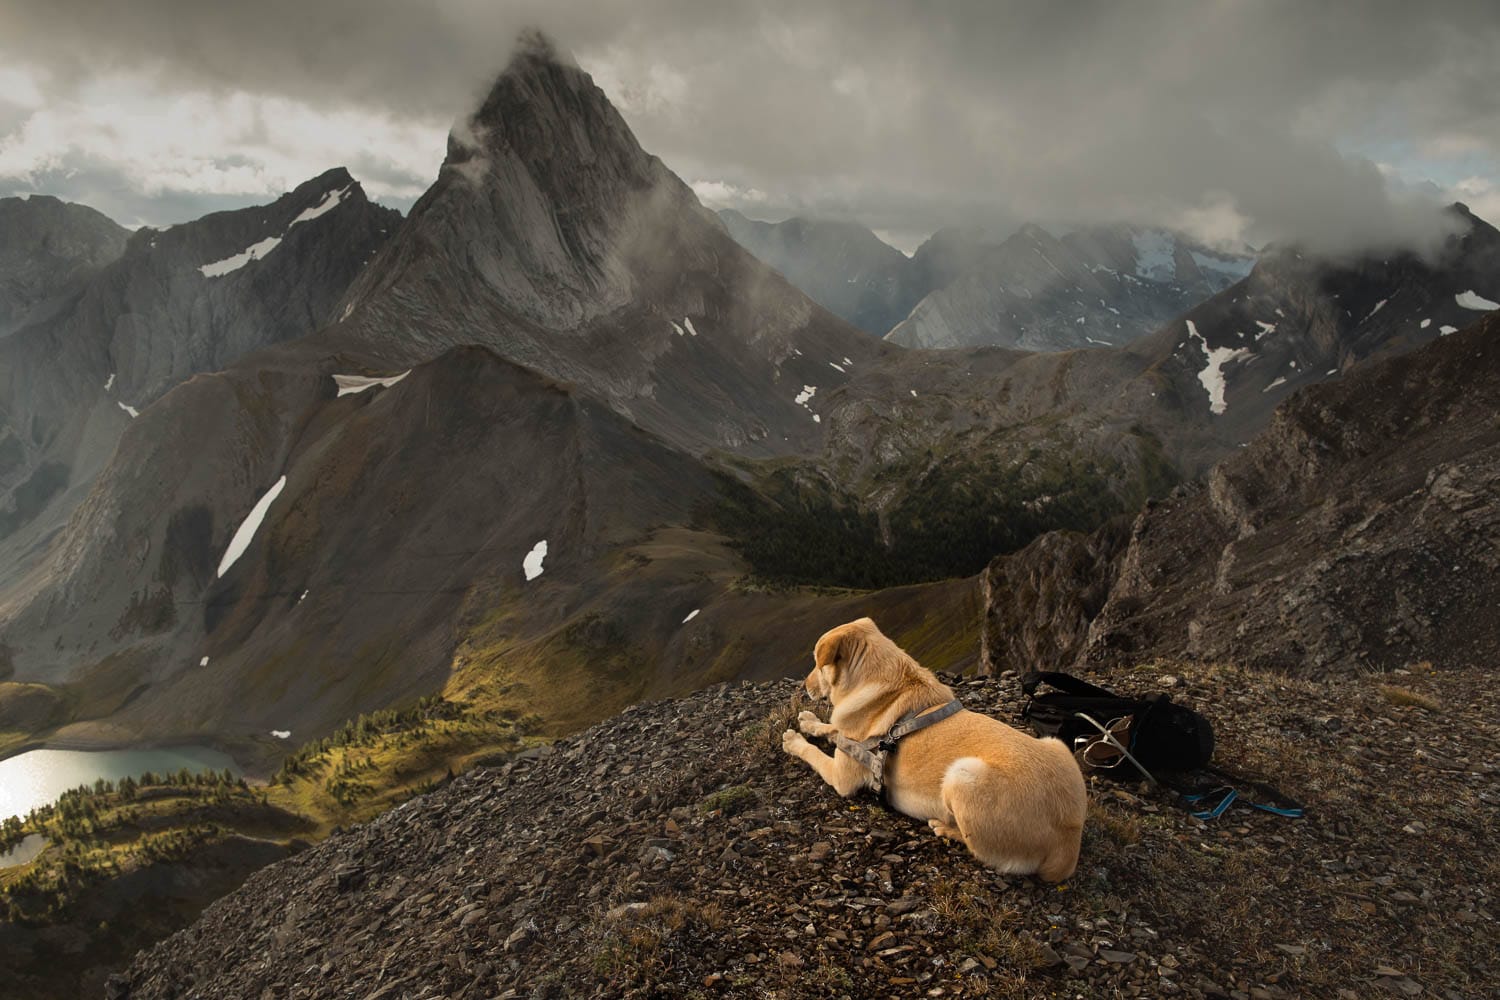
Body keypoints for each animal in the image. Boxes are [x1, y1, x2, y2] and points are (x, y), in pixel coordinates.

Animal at [780, 617, 1086, 881]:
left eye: (817, 664)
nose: (803, 686)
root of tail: (1069, 840)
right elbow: (832, 729)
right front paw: (810, 722)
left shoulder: (842, 777)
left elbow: (814, 753)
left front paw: (794, 740)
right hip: (1055, 743)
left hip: (962, 775)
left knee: (979, 850)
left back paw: (945, 828)